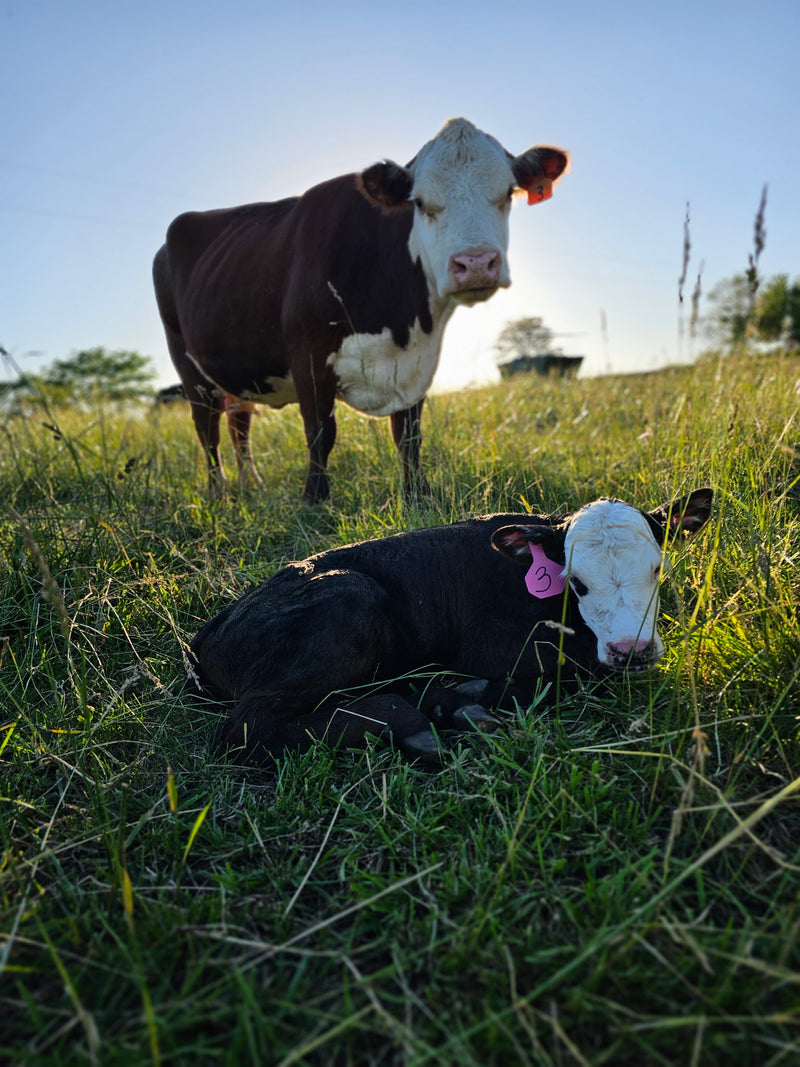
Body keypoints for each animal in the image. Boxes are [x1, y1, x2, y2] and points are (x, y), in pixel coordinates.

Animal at [152, 119, 569, 501]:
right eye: (419, 202)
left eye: (508, 194)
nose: (477, 263)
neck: (398, 323)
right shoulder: (308, 355)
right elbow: (320, 433)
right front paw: (315, 501)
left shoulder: (418, 363)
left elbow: (408, 436)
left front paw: (417, 495)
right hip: (187, 364)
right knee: (207, 429)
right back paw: (218, 492)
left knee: (239, 422)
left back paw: (250, 484)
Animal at [189, 487, 713, 765]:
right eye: (578, 583)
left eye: (657, 569)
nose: (632, 650)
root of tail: (207, 633)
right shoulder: (509, 650)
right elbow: (574, 670)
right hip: (348, 600)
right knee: (246, 727)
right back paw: (420, 721)